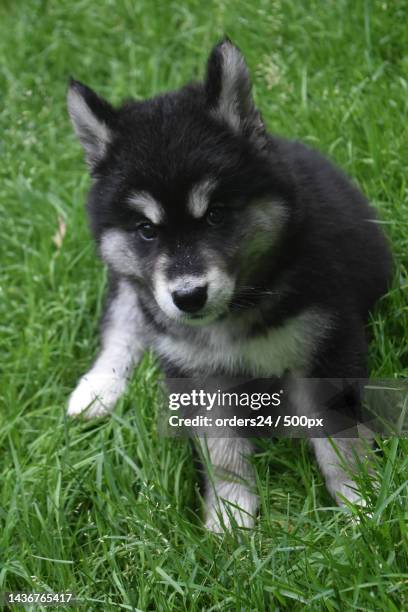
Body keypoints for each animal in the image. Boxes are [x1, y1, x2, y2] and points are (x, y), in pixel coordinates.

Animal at [67, 40, 392, 532]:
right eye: (146, 230)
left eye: (216, 214)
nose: (188, 297)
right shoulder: (193, 370)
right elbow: (220, 448)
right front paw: (229, 516)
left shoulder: (326, 345)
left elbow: (341, 435)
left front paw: (363, 502)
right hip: (135, 288)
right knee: (124, 321)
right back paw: (97, 390)